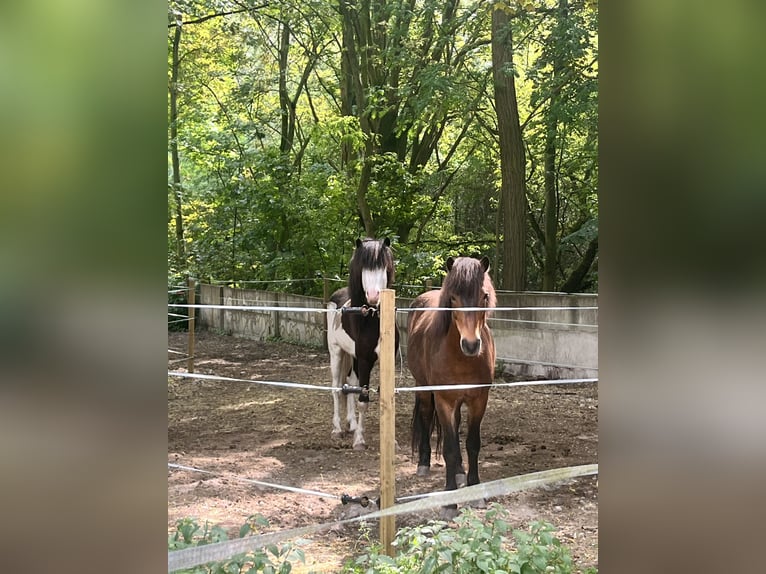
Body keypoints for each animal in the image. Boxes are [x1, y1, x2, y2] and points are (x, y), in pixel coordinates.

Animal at [326, 237, 400, 450]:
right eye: (363, 266)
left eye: (384, 265)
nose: (374, 296)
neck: (373, 321)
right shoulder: (366, 359)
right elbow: (363, 400)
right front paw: (359, 440)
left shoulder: (385, 360)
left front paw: (392, 441)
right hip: (336, 353)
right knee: (336, 387)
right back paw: (338, 429)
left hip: (353, 357)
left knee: (351, 382)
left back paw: (351, 423)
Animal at [408, 258, 498, 520]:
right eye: (454, 297)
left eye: (484, 295)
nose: (471, 344)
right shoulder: (444, 401)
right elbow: (448, 447)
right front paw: (449, 502)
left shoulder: (479, 399)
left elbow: (472, 443)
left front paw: (474, 490)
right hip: (424, 389)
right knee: (426, 417)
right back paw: (424, 464)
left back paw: (459, 472)